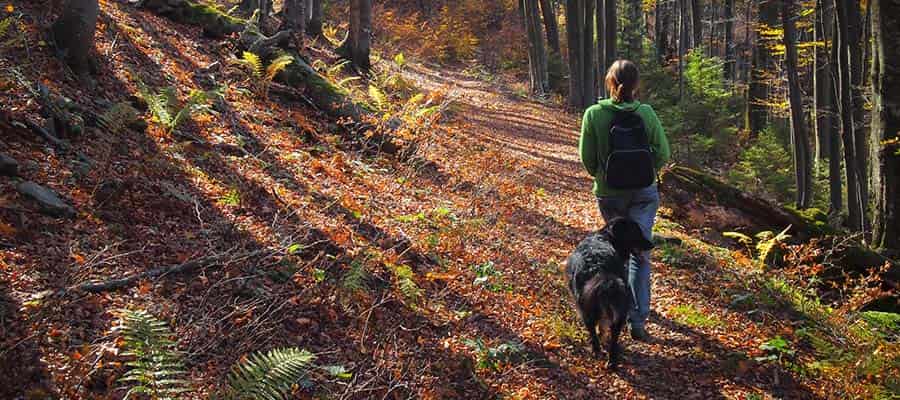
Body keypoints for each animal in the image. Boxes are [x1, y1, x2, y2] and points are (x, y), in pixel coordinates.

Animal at [568, 217, 652, 370]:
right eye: (637, 232)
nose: (652, 245)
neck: (606, 236)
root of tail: (602, 270)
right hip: (619, 308)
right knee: (613, 335)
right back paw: (611, 361)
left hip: (587, 308)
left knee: (594, 331)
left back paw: (597, 351)